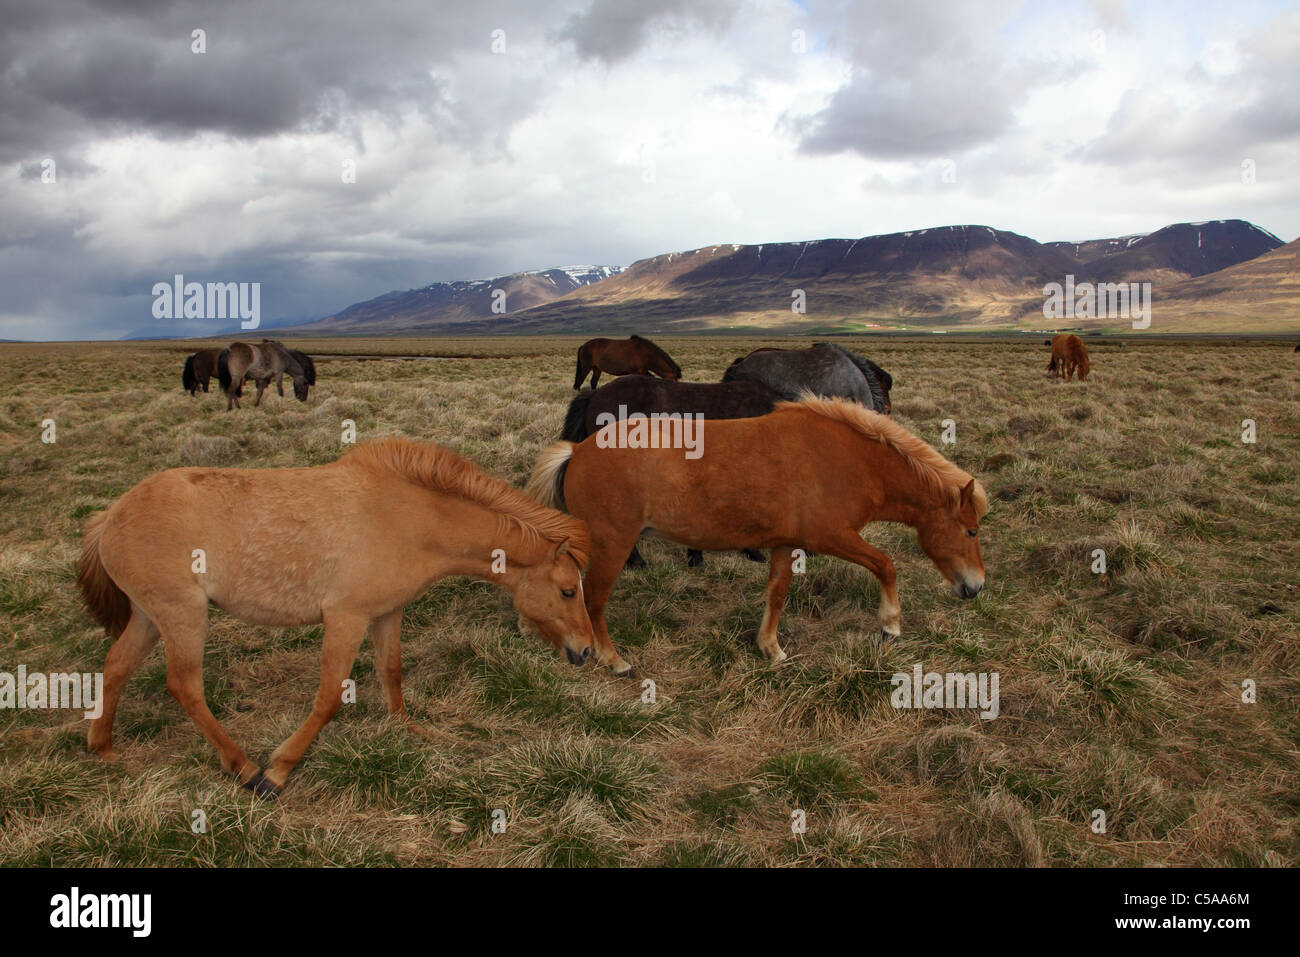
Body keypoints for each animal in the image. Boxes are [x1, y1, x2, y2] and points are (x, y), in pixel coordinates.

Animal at [76, 436, 595, 795]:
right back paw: (245, 768)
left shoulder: (387, 613)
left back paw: (103, 748)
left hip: (150, 617)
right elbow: (328, 698)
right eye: (568, 590)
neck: (407, 517)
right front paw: (280, 770)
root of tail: (111, 515)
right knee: (185, 686)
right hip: (183, 615)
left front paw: (406, 730)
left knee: (116, 666)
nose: (587, 651)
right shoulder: (346, 618)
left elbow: (392, 671)